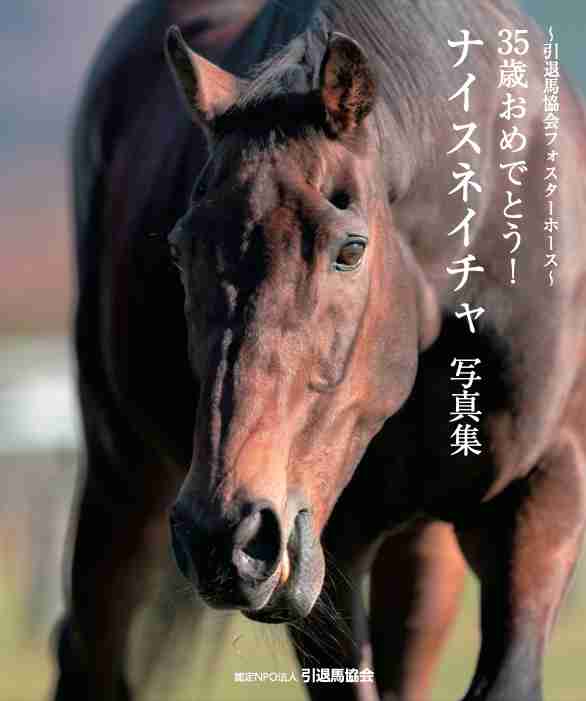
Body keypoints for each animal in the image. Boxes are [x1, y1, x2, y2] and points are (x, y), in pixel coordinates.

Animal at [55, 1, 586, 700]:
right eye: (178, 249)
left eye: (350, 250)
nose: (222, 536)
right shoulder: (327, 542)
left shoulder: (547, 486)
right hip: (119, 471)